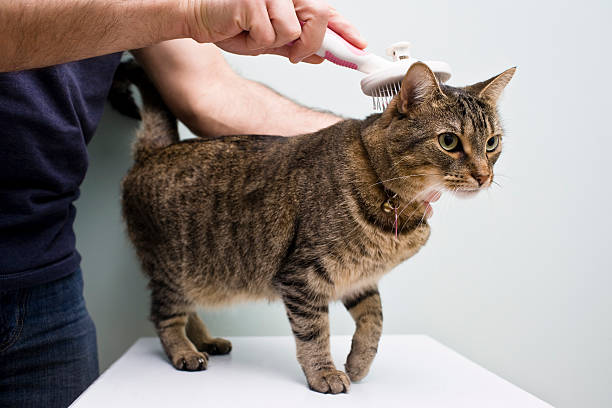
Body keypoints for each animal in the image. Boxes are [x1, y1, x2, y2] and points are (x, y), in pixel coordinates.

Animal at [113, 59, 512, 394]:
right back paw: (184, 351)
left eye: (492, 143)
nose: (484, 175)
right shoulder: (303, 276)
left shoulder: (359, 279)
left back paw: (205, 340)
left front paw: (359, 364)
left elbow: (375, 321)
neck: (395, 201)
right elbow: (314, 332)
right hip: (173, 269)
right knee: (164, 315)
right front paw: (324, 373)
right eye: (449, 141)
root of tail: (152, 151)